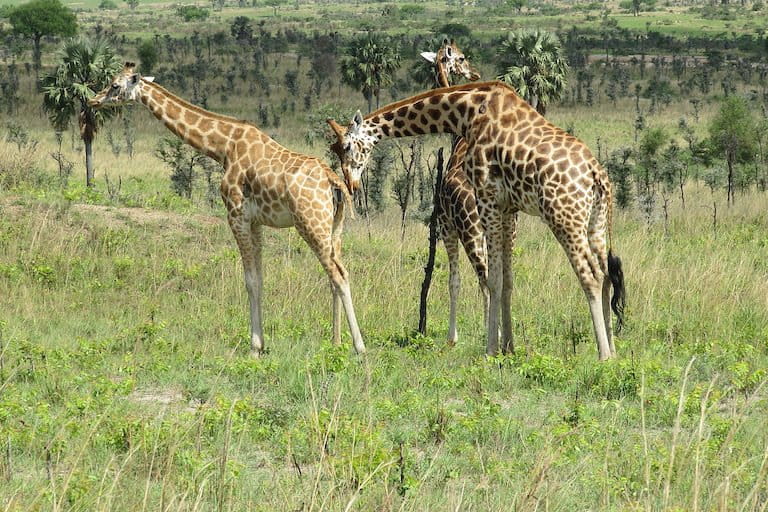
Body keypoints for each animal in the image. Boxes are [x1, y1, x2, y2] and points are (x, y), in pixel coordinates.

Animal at [89, 62, 366, 357]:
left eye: (115, 85)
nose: (93, 100)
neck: (223, 147)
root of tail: (333, 180)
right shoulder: (255, 220)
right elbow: (260, 278)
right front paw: (261, 344)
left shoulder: (236, 214)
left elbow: (250, 280)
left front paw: (254, 348)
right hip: (335, 226)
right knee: (334, 274)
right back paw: (336, 343)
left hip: (310, 223)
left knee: (339, 274)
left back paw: (360, 347)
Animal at [328, 81, 626, 360]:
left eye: (346, 146)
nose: (351, 185)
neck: (467, 112)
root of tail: (597, 175)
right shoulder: (508, 207)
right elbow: (507, 280)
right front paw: (509, 347)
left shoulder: (487, 196)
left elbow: (491, 280)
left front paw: (490, 349)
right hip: (596, 222)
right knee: (606, 275)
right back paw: (614, 351)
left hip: (563, 217)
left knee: (591, 275)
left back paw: (602, 354)